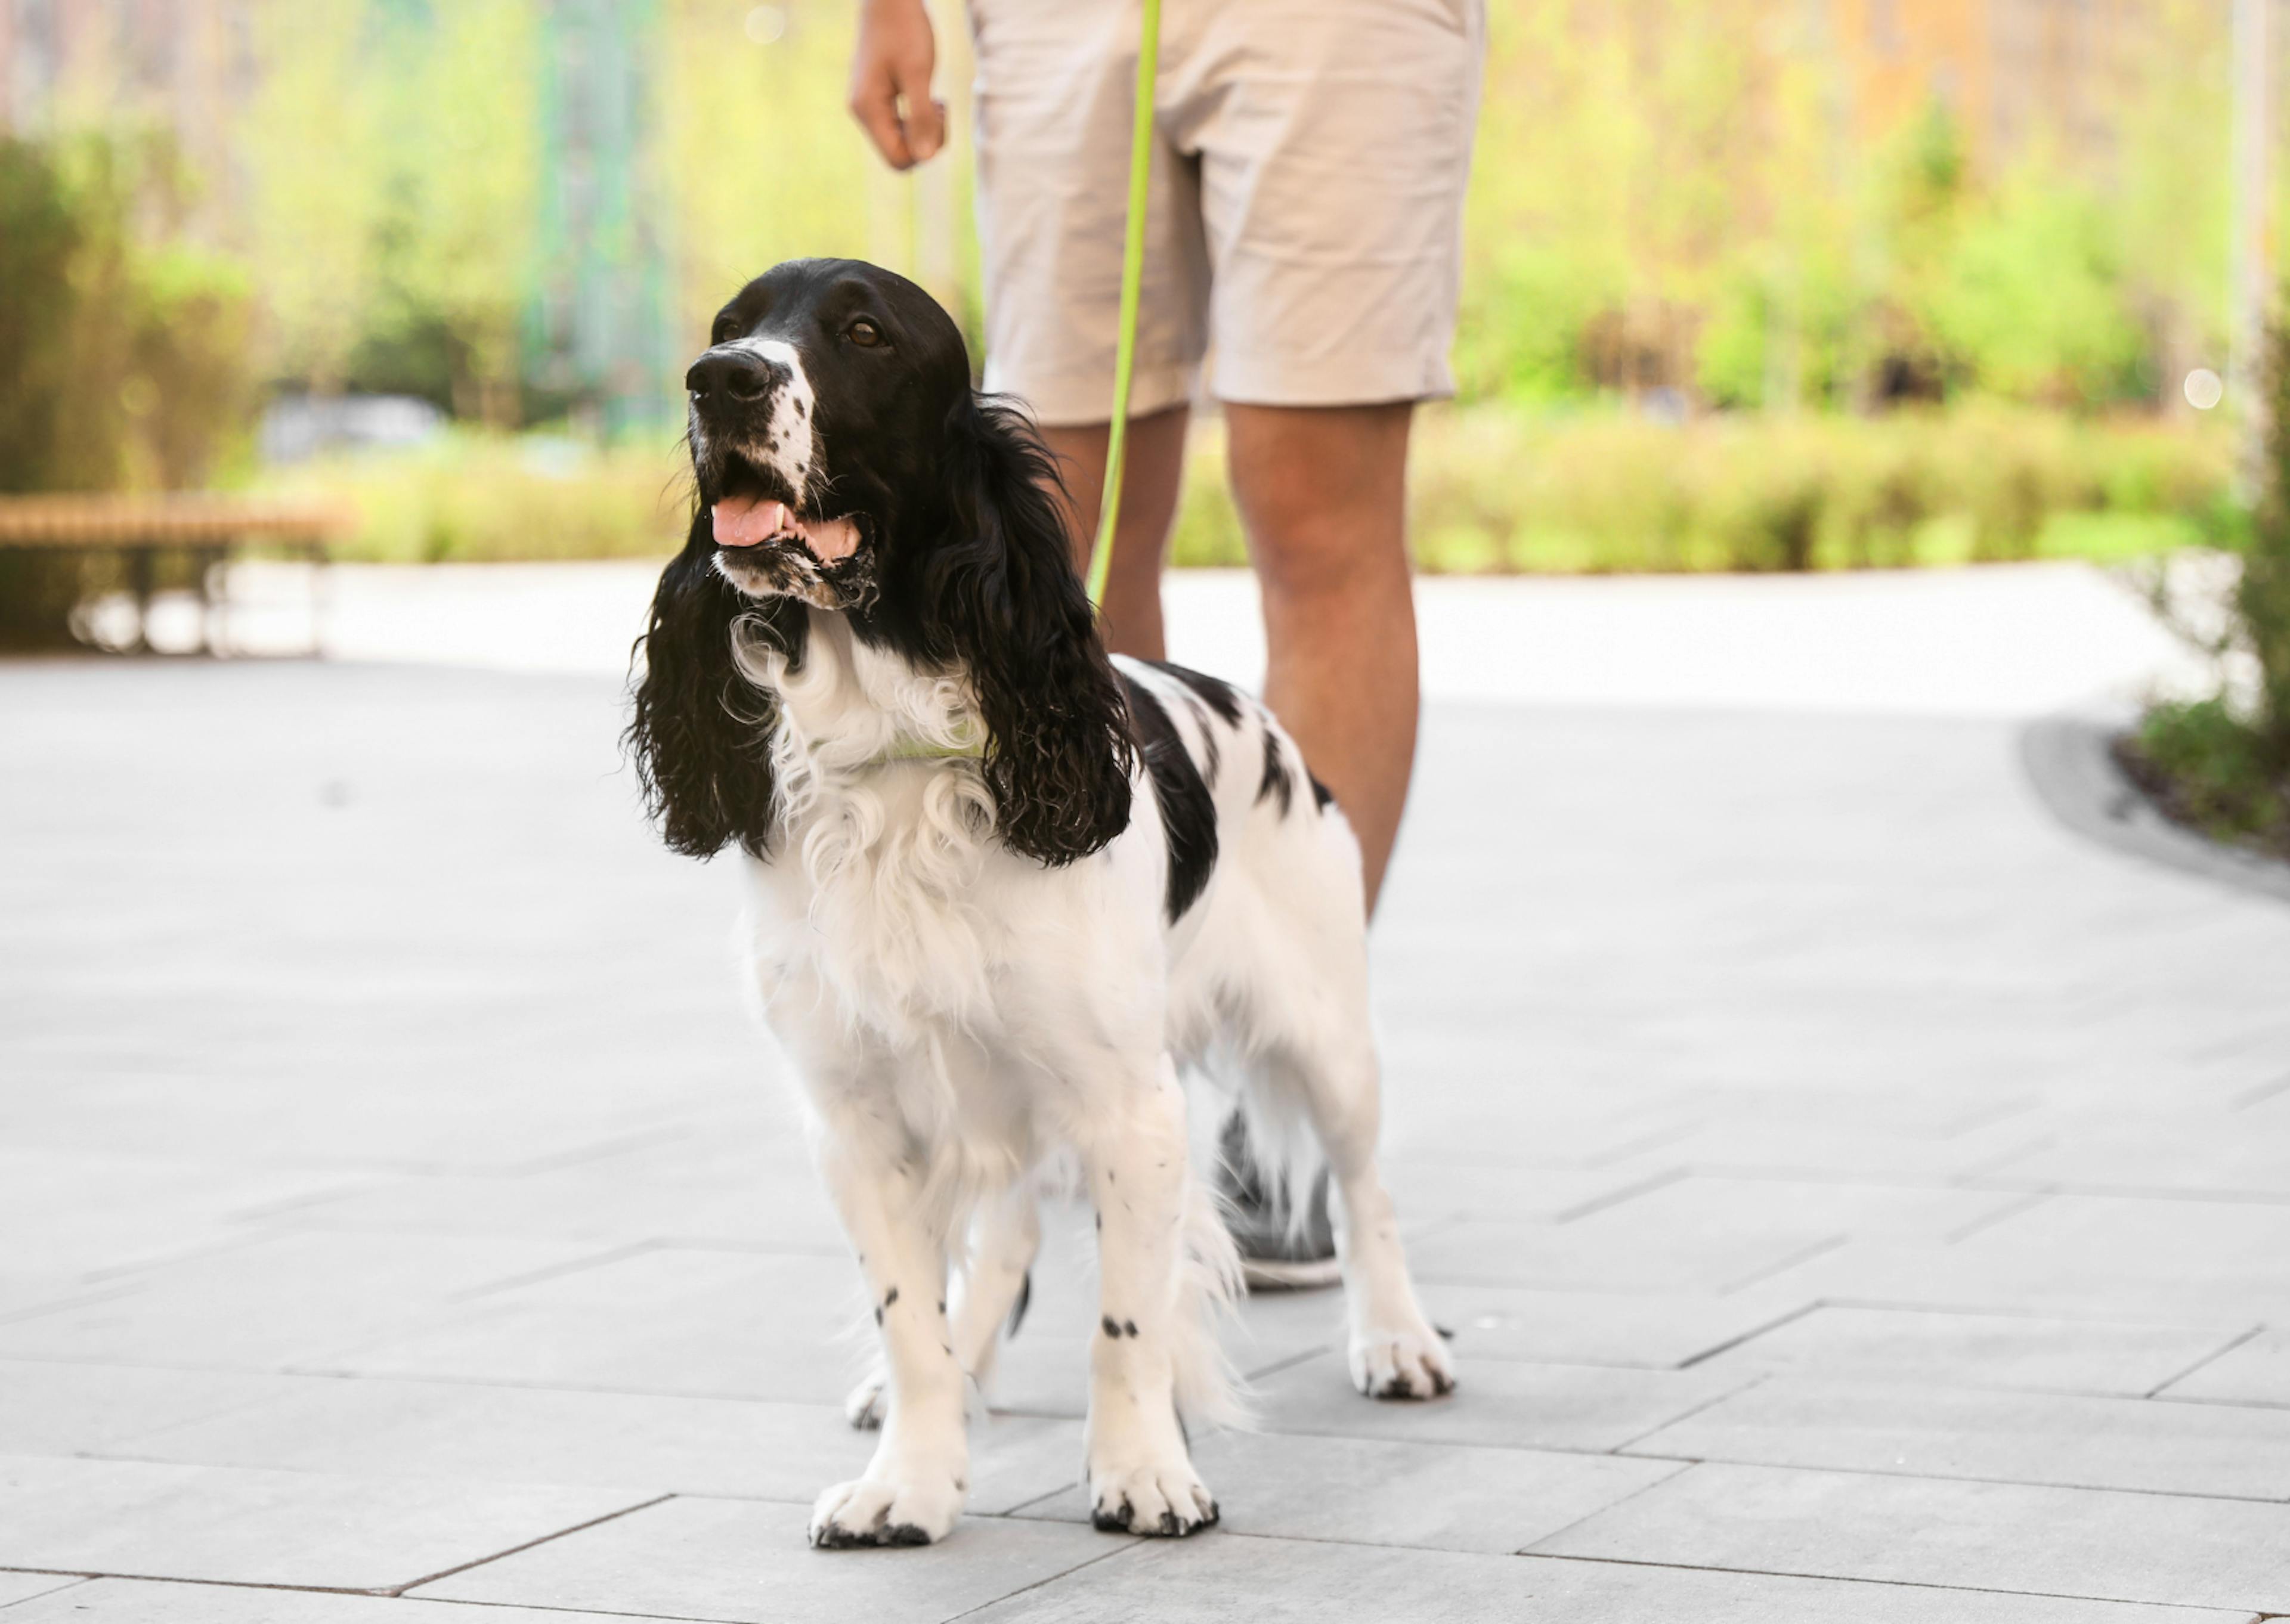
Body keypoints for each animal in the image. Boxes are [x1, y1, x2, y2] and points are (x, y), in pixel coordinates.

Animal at [627, 253, 1447, 1548]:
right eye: (726, 323)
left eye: (865, 332)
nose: (722, 380)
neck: (896, 753)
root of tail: (1263, 719)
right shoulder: (858, 1117)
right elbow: (907, 1317)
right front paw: (911, 1480)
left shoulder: (1129, 1108)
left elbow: (1128, 1325)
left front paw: (1144, 1473)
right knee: (1003, 1234)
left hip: (1326, 1034)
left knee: (1366, 1190)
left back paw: (1398, 1340)